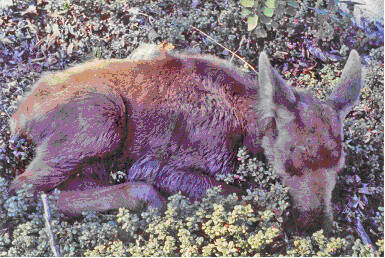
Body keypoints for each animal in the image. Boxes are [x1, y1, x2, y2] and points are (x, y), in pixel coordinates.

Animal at [9, 44, 360, 234]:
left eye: (340, 165)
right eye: (289, 160)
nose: (313, 222)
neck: (247, 129)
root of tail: (19, 115)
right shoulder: (157, 166)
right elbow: (238, 193)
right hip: (104, 117)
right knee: (21, 188)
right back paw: (147, 199)